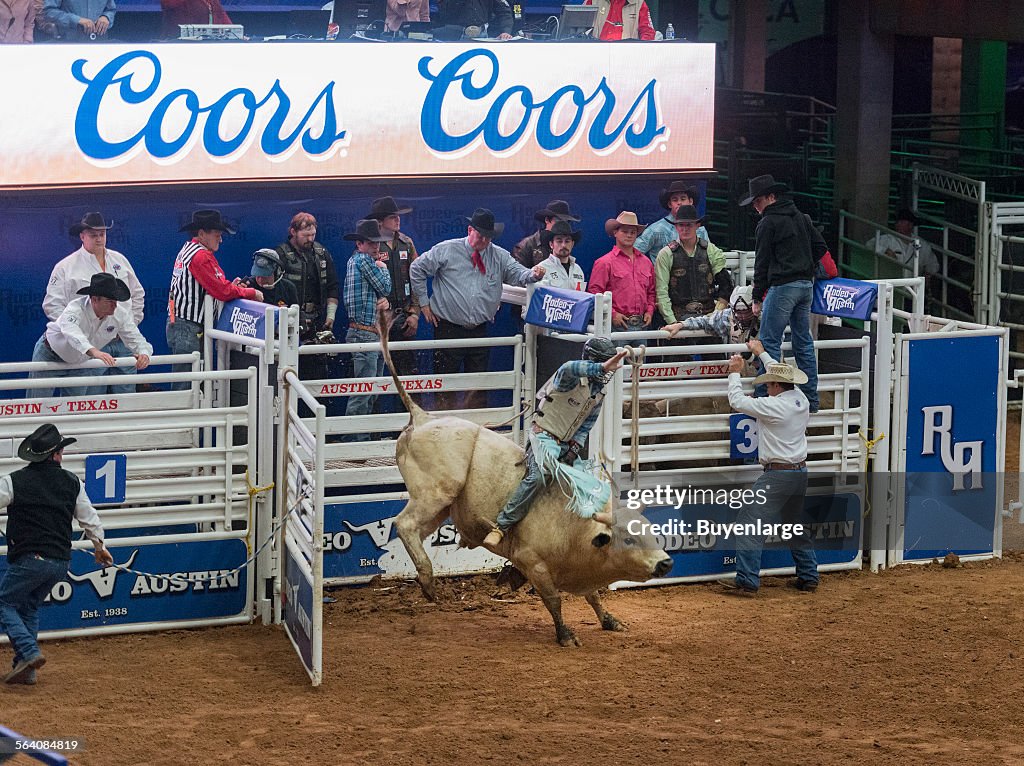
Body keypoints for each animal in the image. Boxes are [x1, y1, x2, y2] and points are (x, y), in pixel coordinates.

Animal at [376, 311, 671, 647]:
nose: (665, 562)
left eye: (650, 531)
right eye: (629, 539)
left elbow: (594, 596)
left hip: (442, 507)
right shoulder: (532, 562)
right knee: (405, 524)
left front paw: (610, 620)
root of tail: (423, 417)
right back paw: (428, 580)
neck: (574, 530)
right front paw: (565, 635)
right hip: (435, 492)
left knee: (413, 529)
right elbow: (553, 600)